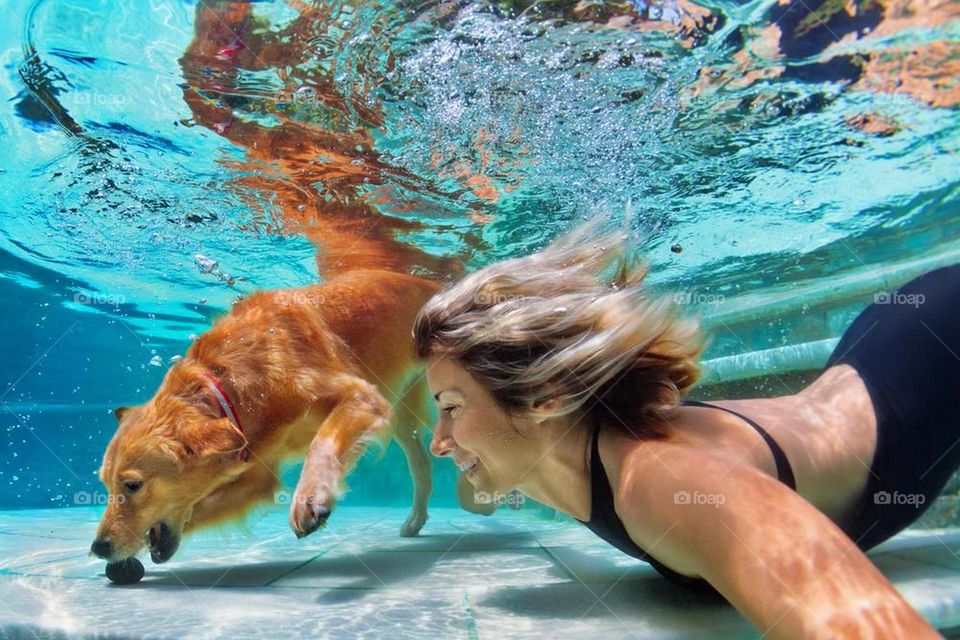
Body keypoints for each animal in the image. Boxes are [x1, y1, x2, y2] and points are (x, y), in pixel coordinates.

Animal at [92, 270, 474, 564]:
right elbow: (202, 506)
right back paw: (415, 520)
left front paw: (311, 497)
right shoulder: (257, 471)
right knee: (421, 465)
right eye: (105, 484)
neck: (228, 386)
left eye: (132, 485)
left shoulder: (359, 396)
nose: (98, 548)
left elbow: (322, 441)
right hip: (403, 416)